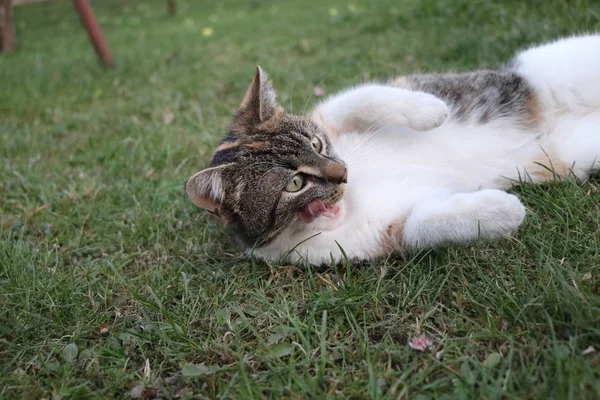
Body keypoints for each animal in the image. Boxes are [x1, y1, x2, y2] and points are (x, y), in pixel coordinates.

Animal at [186, 35, 600, 266]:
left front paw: (430, 110)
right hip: (575, 149)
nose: (343, 174)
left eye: (317, 144)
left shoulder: (331, 114)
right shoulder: (376, 237)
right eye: (294, 184)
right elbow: (422, 225)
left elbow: (365, 96)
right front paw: (500, 210)